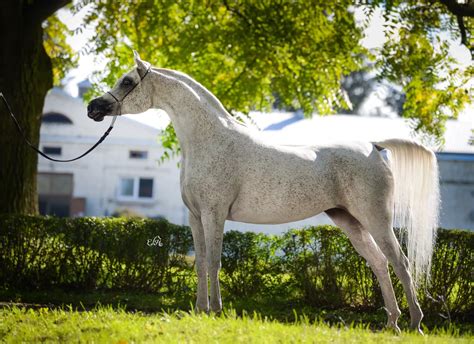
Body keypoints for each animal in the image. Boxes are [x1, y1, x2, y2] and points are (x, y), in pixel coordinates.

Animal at [89, 51, 440, 334]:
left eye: (127, 80)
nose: (94, 108)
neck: (210, 140)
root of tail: (373, 147)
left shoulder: (214, 214)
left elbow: (214, 261)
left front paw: (216, 311)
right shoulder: (195, 217)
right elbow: (200, 262)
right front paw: (200, 310)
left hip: (375, 218)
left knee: (400, 263)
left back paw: (415, 324)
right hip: (348, 221)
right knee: (379, 263)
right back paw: (392, 323)